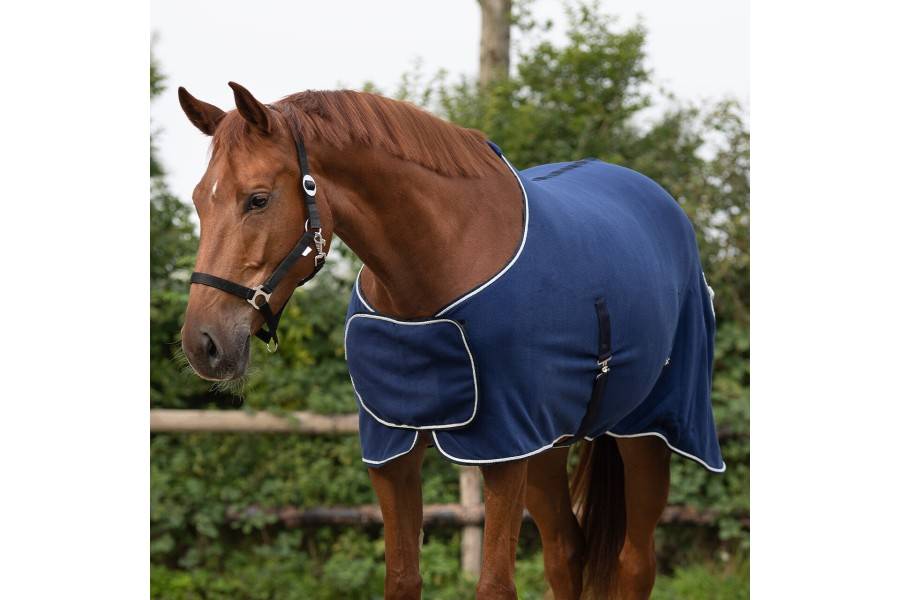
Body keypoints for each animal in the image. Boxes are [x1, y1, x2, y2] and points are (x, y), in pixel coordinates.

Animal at [177, 82, 724, 599]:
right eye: (200, 200)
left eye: (258, 199)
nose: (203, 343)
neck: (439, 261)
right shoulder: (395, 449)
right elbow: (402, 578)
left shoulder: (502, 448)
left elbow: (496, 585)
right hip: (548, 444)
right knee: (565, 554)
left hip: (649, 429)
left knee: (635, 563)